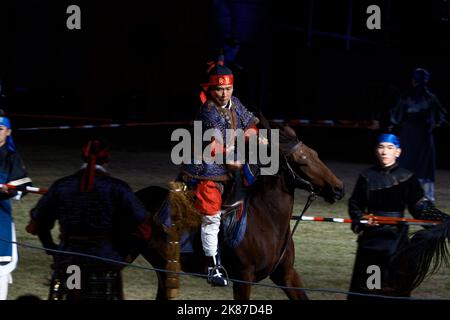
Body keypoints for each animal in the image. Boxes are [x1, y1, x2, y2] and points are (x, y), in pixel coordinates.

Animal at [130, 120, 344, 300]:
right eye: (300, 160)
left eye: (315, 154)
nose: (338, 188)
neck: (267, 221)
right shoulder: (243, 277)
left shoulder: (287, 275)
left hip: (165, 268)